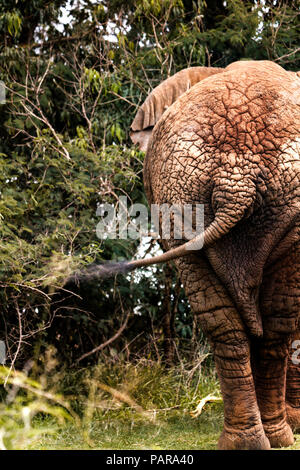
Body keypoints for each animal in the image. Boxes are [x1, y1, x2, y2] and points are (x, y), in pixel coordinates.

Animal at [125, 60, 298, 450]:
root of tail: (235, 178)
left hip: (179, 199)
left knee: (227, 320)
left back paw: (252, 439)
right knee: (275, 319)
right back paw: (276, 436)